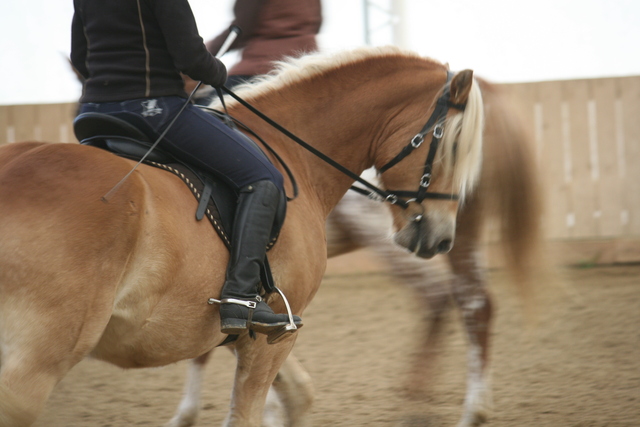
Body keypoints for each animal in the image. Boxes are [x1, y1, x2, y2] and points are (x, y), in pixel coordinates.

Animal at [0, 45, 482, 426]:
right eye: (453, 146)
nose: (441, 238)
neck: (293, 153)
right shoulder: (272, 334)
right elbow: (250, 412)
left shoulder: (255, 332)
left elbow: (298, 396)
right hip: (34, 366)